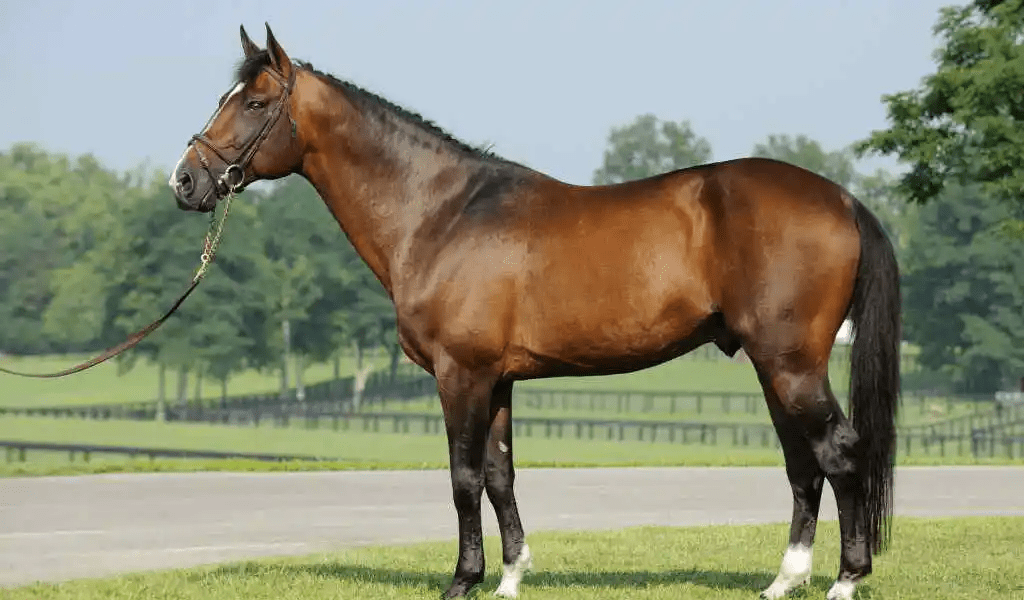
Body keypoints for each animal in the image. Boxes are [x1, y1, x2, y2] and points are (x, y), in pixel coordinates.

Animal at [169, 24, 900, 600]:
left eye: (255, 102)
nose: (185, 180)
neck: (439, 213)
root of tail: (841, 200)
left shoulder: (460, 374)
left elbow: (464, 478)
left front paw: (463, 580)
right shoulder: (497, 380)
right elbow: (500, 474)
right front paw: (511, 576)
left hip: (790, 363)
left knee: (838, 452)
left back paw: (845, 580)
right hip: (775, 367)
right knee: (803, 465)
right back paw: (785, 579)